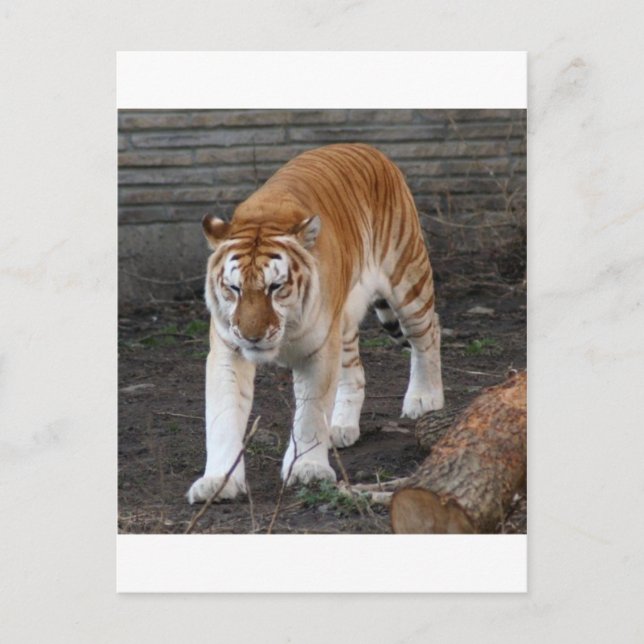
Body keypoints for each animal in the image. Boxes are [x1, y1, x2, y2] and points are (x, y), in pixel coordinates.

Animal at [188, 143, 444, 504]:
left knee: (429, 332)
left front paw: (306, 469)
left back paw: (424, 399)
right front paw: (218, 481)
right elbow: (222, 416)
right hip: (345, 319)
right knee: (355, 371)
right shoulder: (228, 350)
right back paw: (341, 427)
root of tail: (367, 147)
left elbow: (310, 412)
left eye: (275, 287)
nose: (252, 336)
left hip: (408, 280)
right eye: (234, 288)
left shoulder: (318, 349)